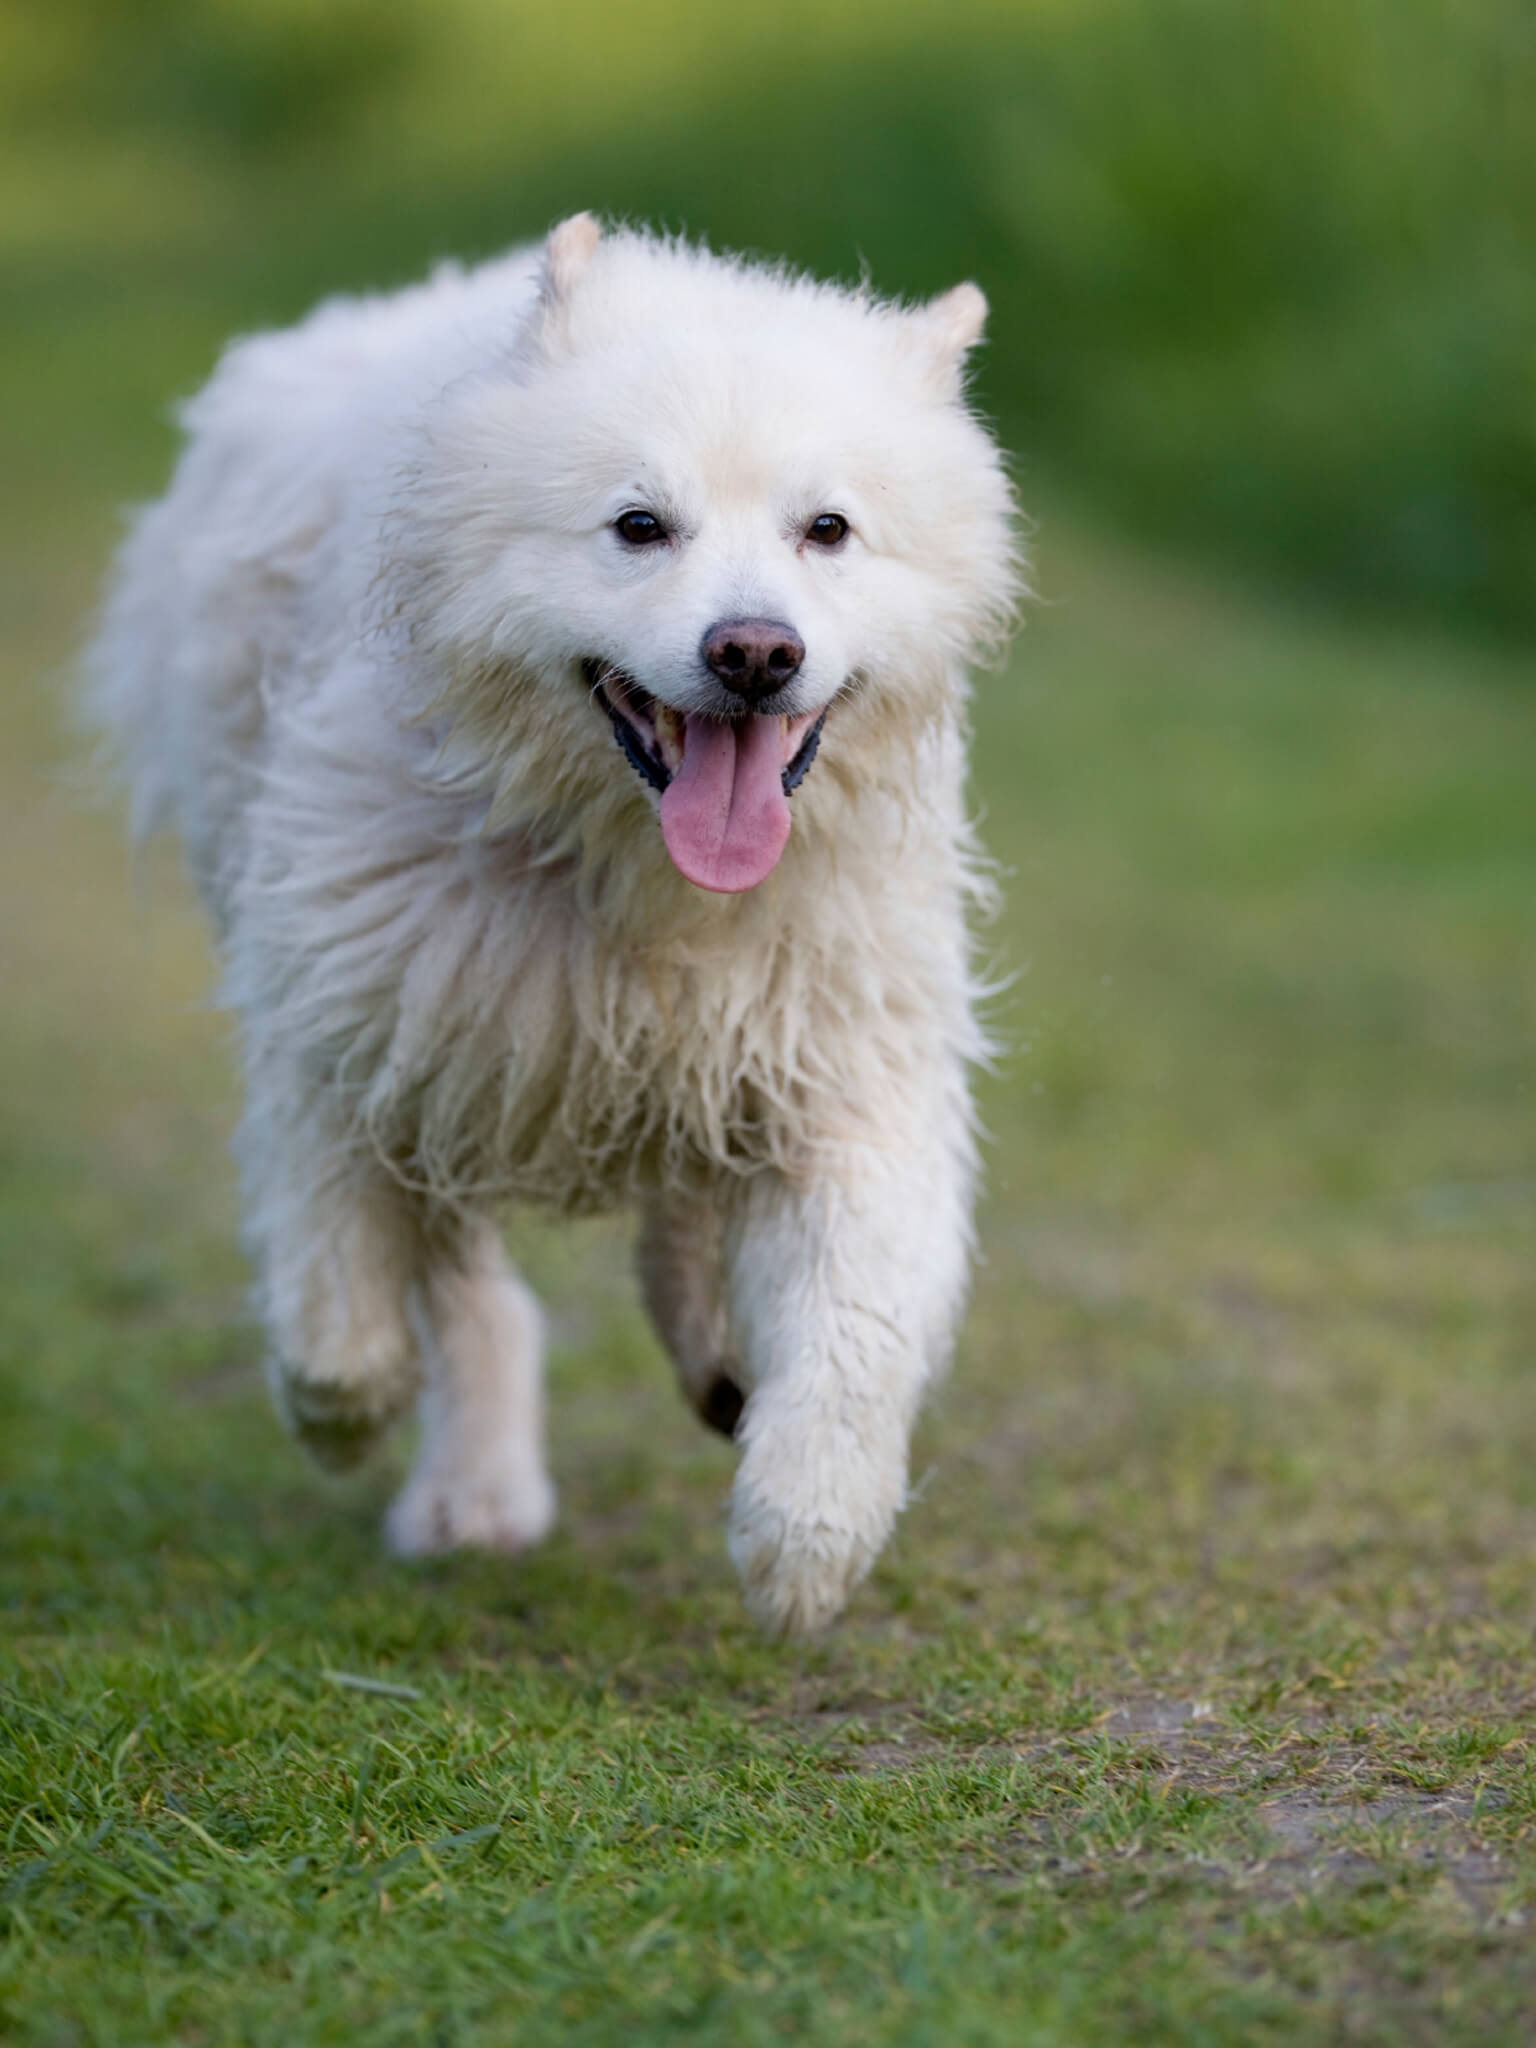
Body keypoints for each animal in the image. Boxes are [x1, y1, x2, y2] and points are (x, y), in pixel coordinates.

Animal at [87, 216, 1024, 1638]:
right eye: (639, 525)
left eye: (828, 529)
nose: (756, 652)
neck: (640, 877)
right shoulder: (351, 1007)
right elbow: (333, 1282)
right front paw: (341, 1407)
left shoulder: (848, 1066)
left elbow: (854, 1317)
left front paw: (808, 1533)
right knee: (470, 1288)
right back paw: (472, 1489)